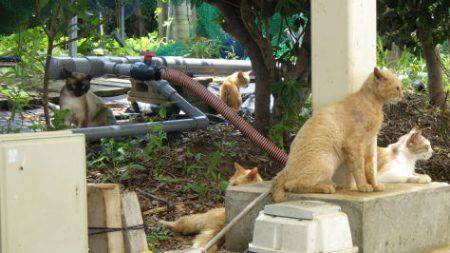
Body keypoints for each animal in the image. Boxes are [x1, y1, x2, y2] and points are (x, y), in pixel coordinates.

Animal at [270, 66, 404, 202]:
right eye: (397, 88)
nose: (403, 95)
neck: (375, 105)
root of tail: (285, 168)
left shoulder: (369, 144)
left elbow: (370, 169)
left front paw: (375, 185)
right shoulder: (354, 145)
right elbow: (359, 168)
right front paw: (363, 186)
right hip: (326, 162)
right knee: (292, 185)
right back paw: (326, 187)